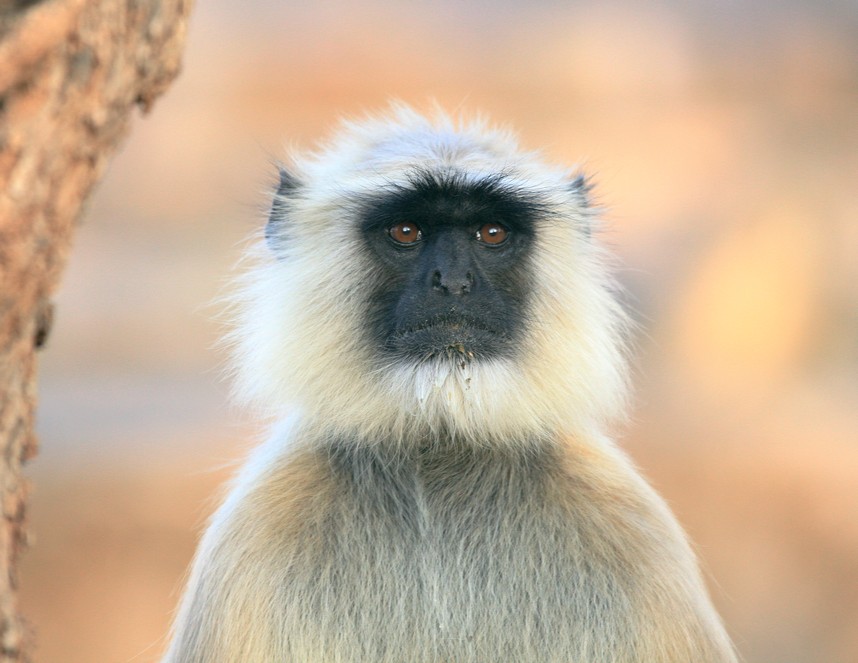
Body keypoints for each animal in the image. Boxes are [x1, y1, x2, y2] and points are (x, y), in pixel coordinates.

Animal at [162, 106, 736, 660]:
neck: (440, 447)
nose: (455, 283)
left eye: (492, 233)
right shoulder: (255, 535)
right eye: (406, 232)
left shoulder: (634, 532)